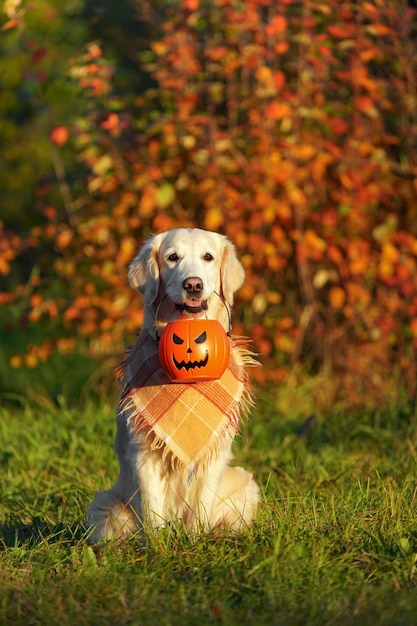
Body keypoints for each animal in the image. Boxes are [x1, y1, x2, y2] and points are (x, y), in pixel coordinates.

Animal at [86, 227, 258, 540]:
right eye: (172, 258)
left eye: (208, 257)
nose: (193, 285)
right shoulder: (144, 454)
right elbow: (153, 511)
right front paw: (159, 545)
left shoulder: (213, 456)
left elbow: (201, 508)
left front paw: (196, 540)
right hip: (105, 504)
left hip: (246, 486)